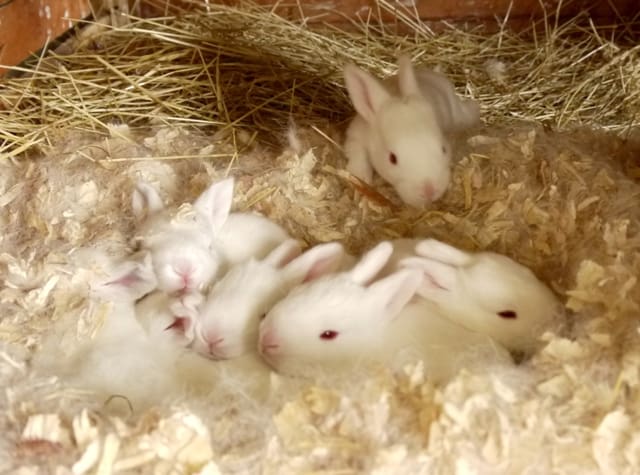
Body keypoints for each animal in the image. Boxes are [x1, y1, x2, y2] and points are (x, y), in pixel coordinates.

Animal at [342, 54, 478, 207]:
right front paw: (360, 179)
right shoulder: (355, 135)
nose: (429, 191)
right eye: (392, 159)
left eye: (444, 149)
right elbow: (357, 155)